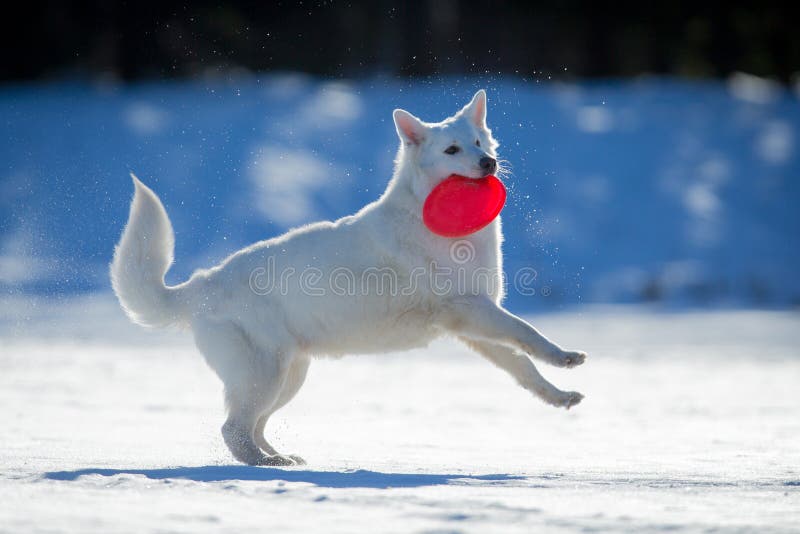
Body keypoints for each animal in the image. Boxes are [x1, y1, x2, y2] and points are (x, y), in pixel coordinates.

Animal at [111, 90, 588, 466]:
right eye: (453, 150)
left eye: (477, 142)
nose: (489, 162)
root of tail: (201, 284)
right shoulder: (472, 310)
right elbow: (527, 333)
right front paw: (564, 357)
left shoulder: (476, 326)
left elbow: (523, 366)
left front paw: (559, 395)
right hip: (264, 374)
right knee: (233, 430)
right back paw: (265, 467)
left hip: (289, 376)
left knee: (253, 428)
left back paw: (279, 458)